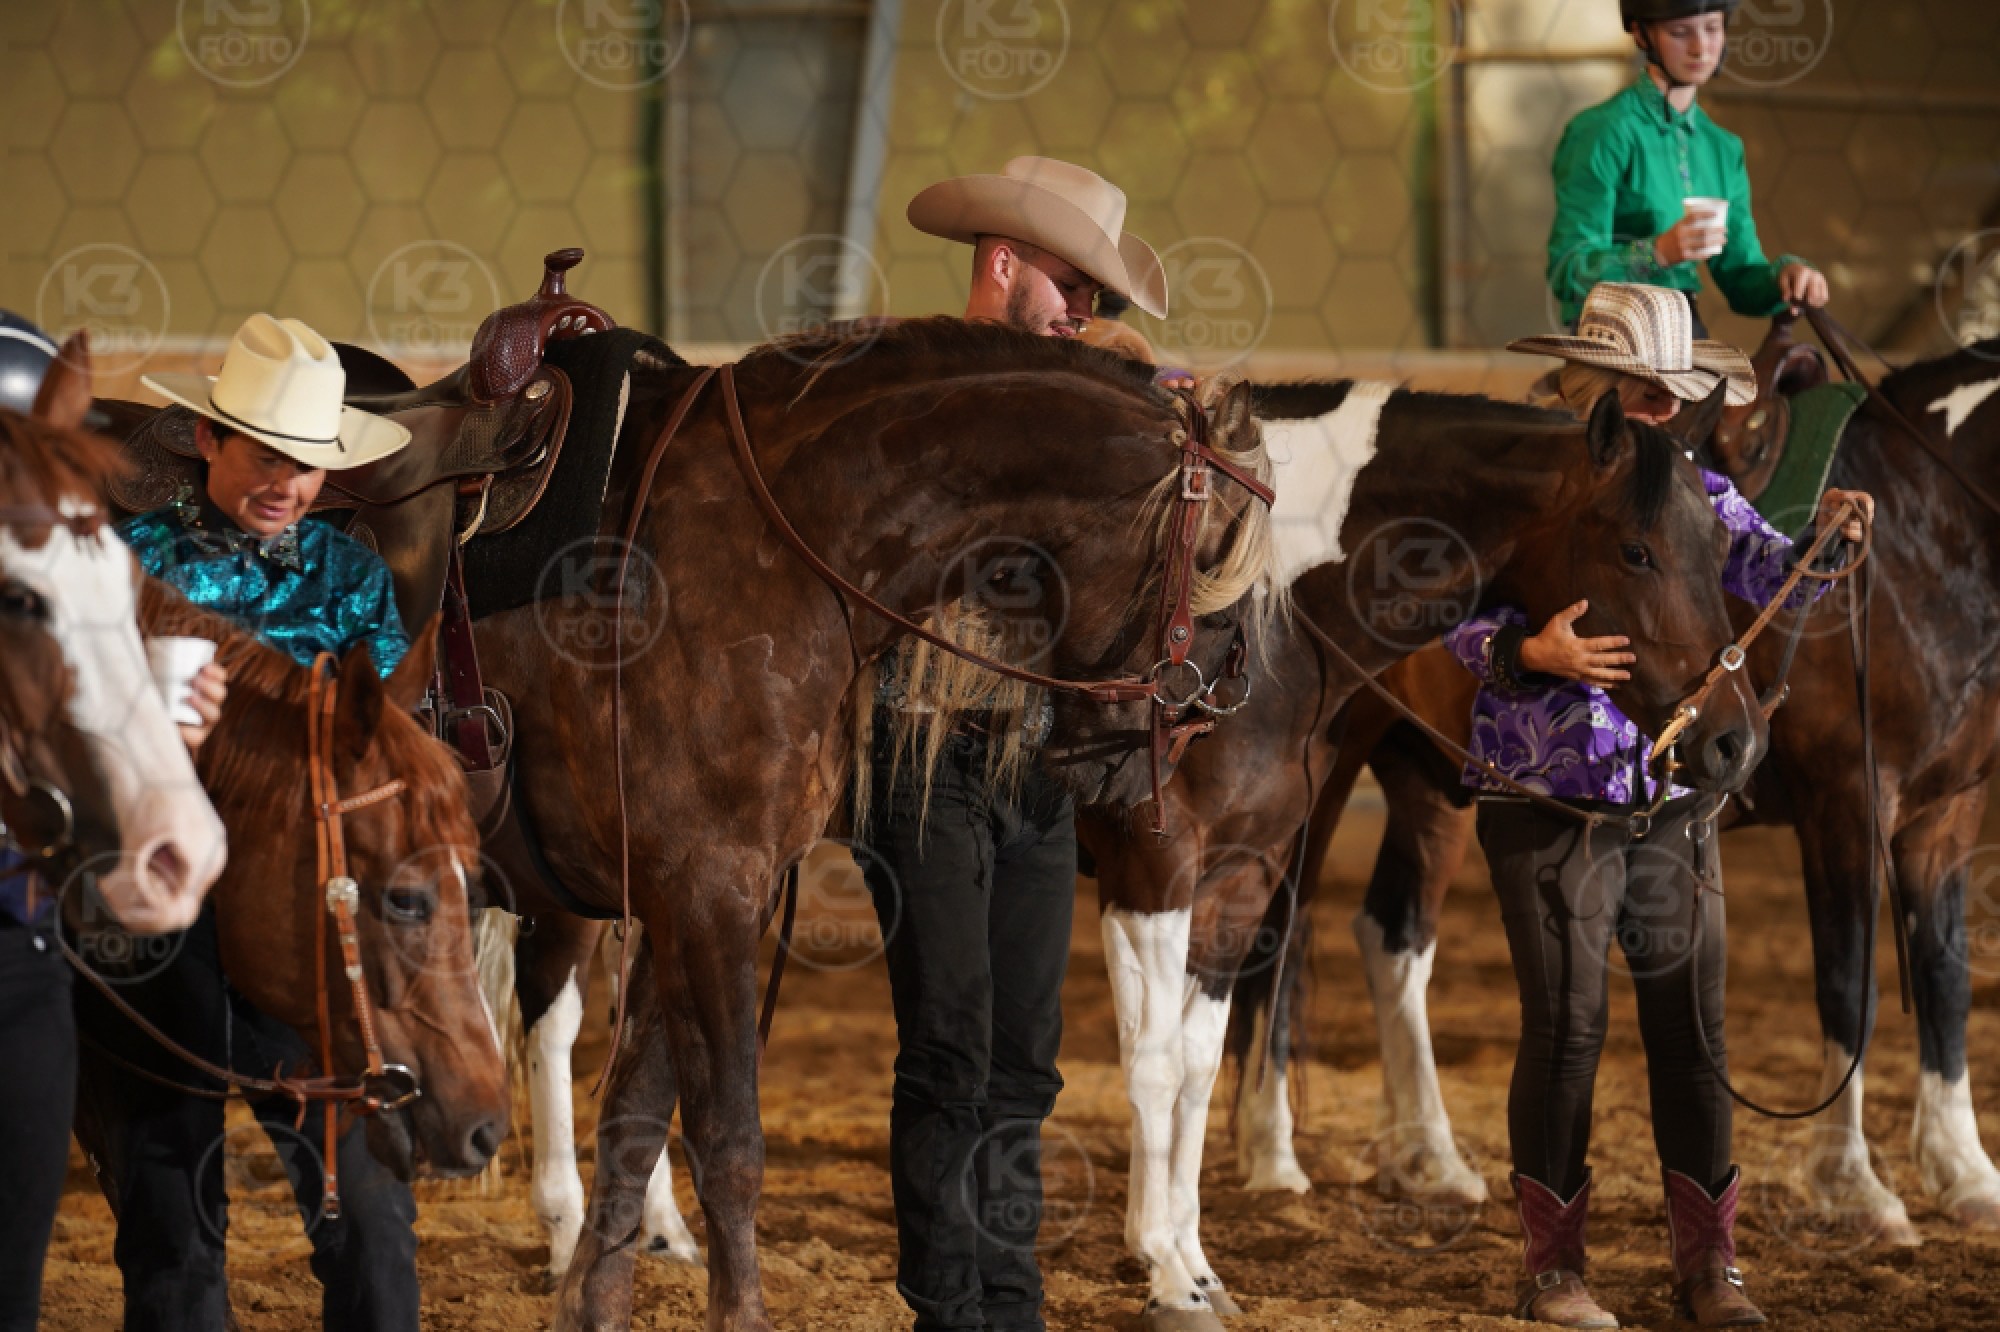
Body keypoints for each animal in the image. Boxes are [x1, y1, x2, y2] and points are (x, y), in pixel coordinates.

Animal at [456, 319, 1282, 1332]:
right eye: (1217, 573)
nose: (1144, 757)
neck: (766, 544)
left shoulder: (685, 900)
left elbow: (635, 1119)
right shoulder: (708, 893)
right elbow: (728, 1141)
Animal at [1074, 379, 1771, 1329]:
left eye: (1725, 543)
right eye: (1636, 550)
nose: (1736, 741)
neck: (1255, 599)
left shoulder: (1236, 874)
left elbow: (1194, 1061)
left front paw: (1195, 1267)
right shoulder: (1152, 870)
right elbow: (1152, 1064)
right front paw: (1166, 1276)